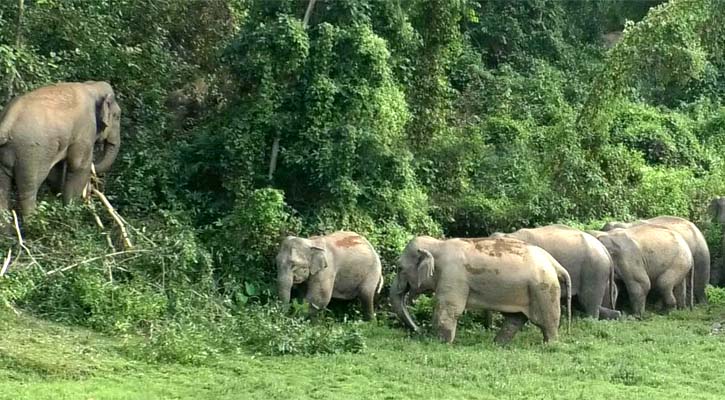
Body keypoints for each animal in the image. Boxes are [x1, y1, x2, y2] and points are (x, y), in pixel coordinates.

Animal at [0, 81, 121, 216]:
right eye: (117, 116)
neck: (92, 86)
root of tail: (6, 123)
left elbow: (56, 173)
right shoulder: (85, 130)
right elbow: (79, 166)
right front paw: (72, 212)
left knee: (3, 189)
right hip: (30, 153)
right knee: (28, 191)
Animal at [390, 236, 572, 346]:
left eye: (399, 268)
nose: (419, 331)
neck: (438, 244)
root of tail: (554, 262)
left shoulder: (453, 275)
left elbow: (449, 307)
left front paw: (440, 342)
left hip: (543, 288)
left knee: (547, 320)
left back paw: (550, 345)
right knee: (515, 318)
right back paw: (497, 344)